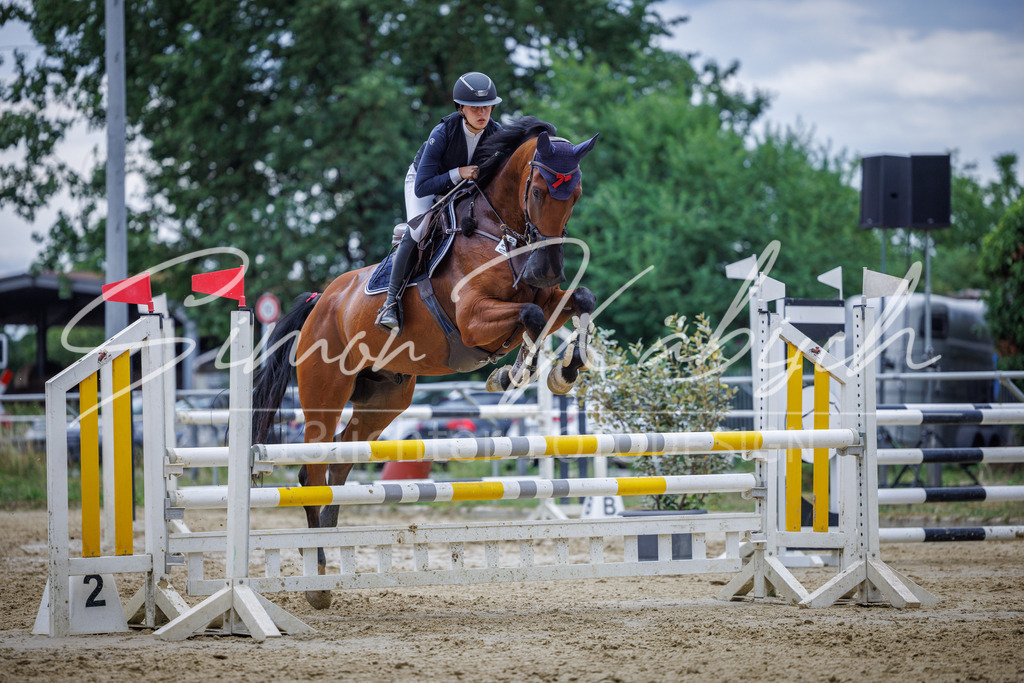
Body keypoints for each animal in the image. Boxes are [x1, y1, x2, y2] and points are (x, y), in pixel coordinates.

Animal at [251, 117, 599, 609]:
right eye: (536, 190)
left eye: (576, 193)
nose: (547, 270)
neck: (501, 235)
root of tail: (322, 302)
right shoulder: (474, 319)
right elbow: (531, 315)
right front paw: (512, 373)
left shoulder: (546, 297)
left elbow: (576, 300)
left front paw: (563, 371)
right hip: (325, 394)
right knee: (312, 470)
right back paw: (316, 580)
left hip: (384, 400)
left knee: (339, 465)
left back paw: (331, 564)